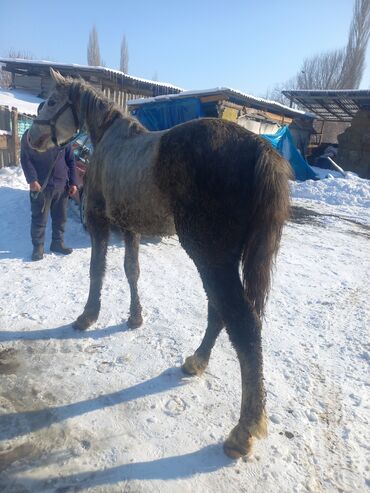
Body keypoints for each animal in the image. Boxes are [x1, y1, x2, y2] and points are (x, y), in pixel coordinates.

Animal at [28, 68, 292, 458]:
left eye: (50, 101)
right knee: (221, 311)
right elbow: (131, 271)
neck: (108, 140)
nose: (32, 138)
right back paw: (197, 361)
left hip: (208, 255)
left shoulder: (99, 222)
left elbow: (97, 271)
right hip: (220, 258)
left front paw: (87, 317)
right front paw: (135, 317)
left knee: (241, 323)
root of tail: (263, 150)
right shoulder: (130, 228)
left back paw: (244, 429)